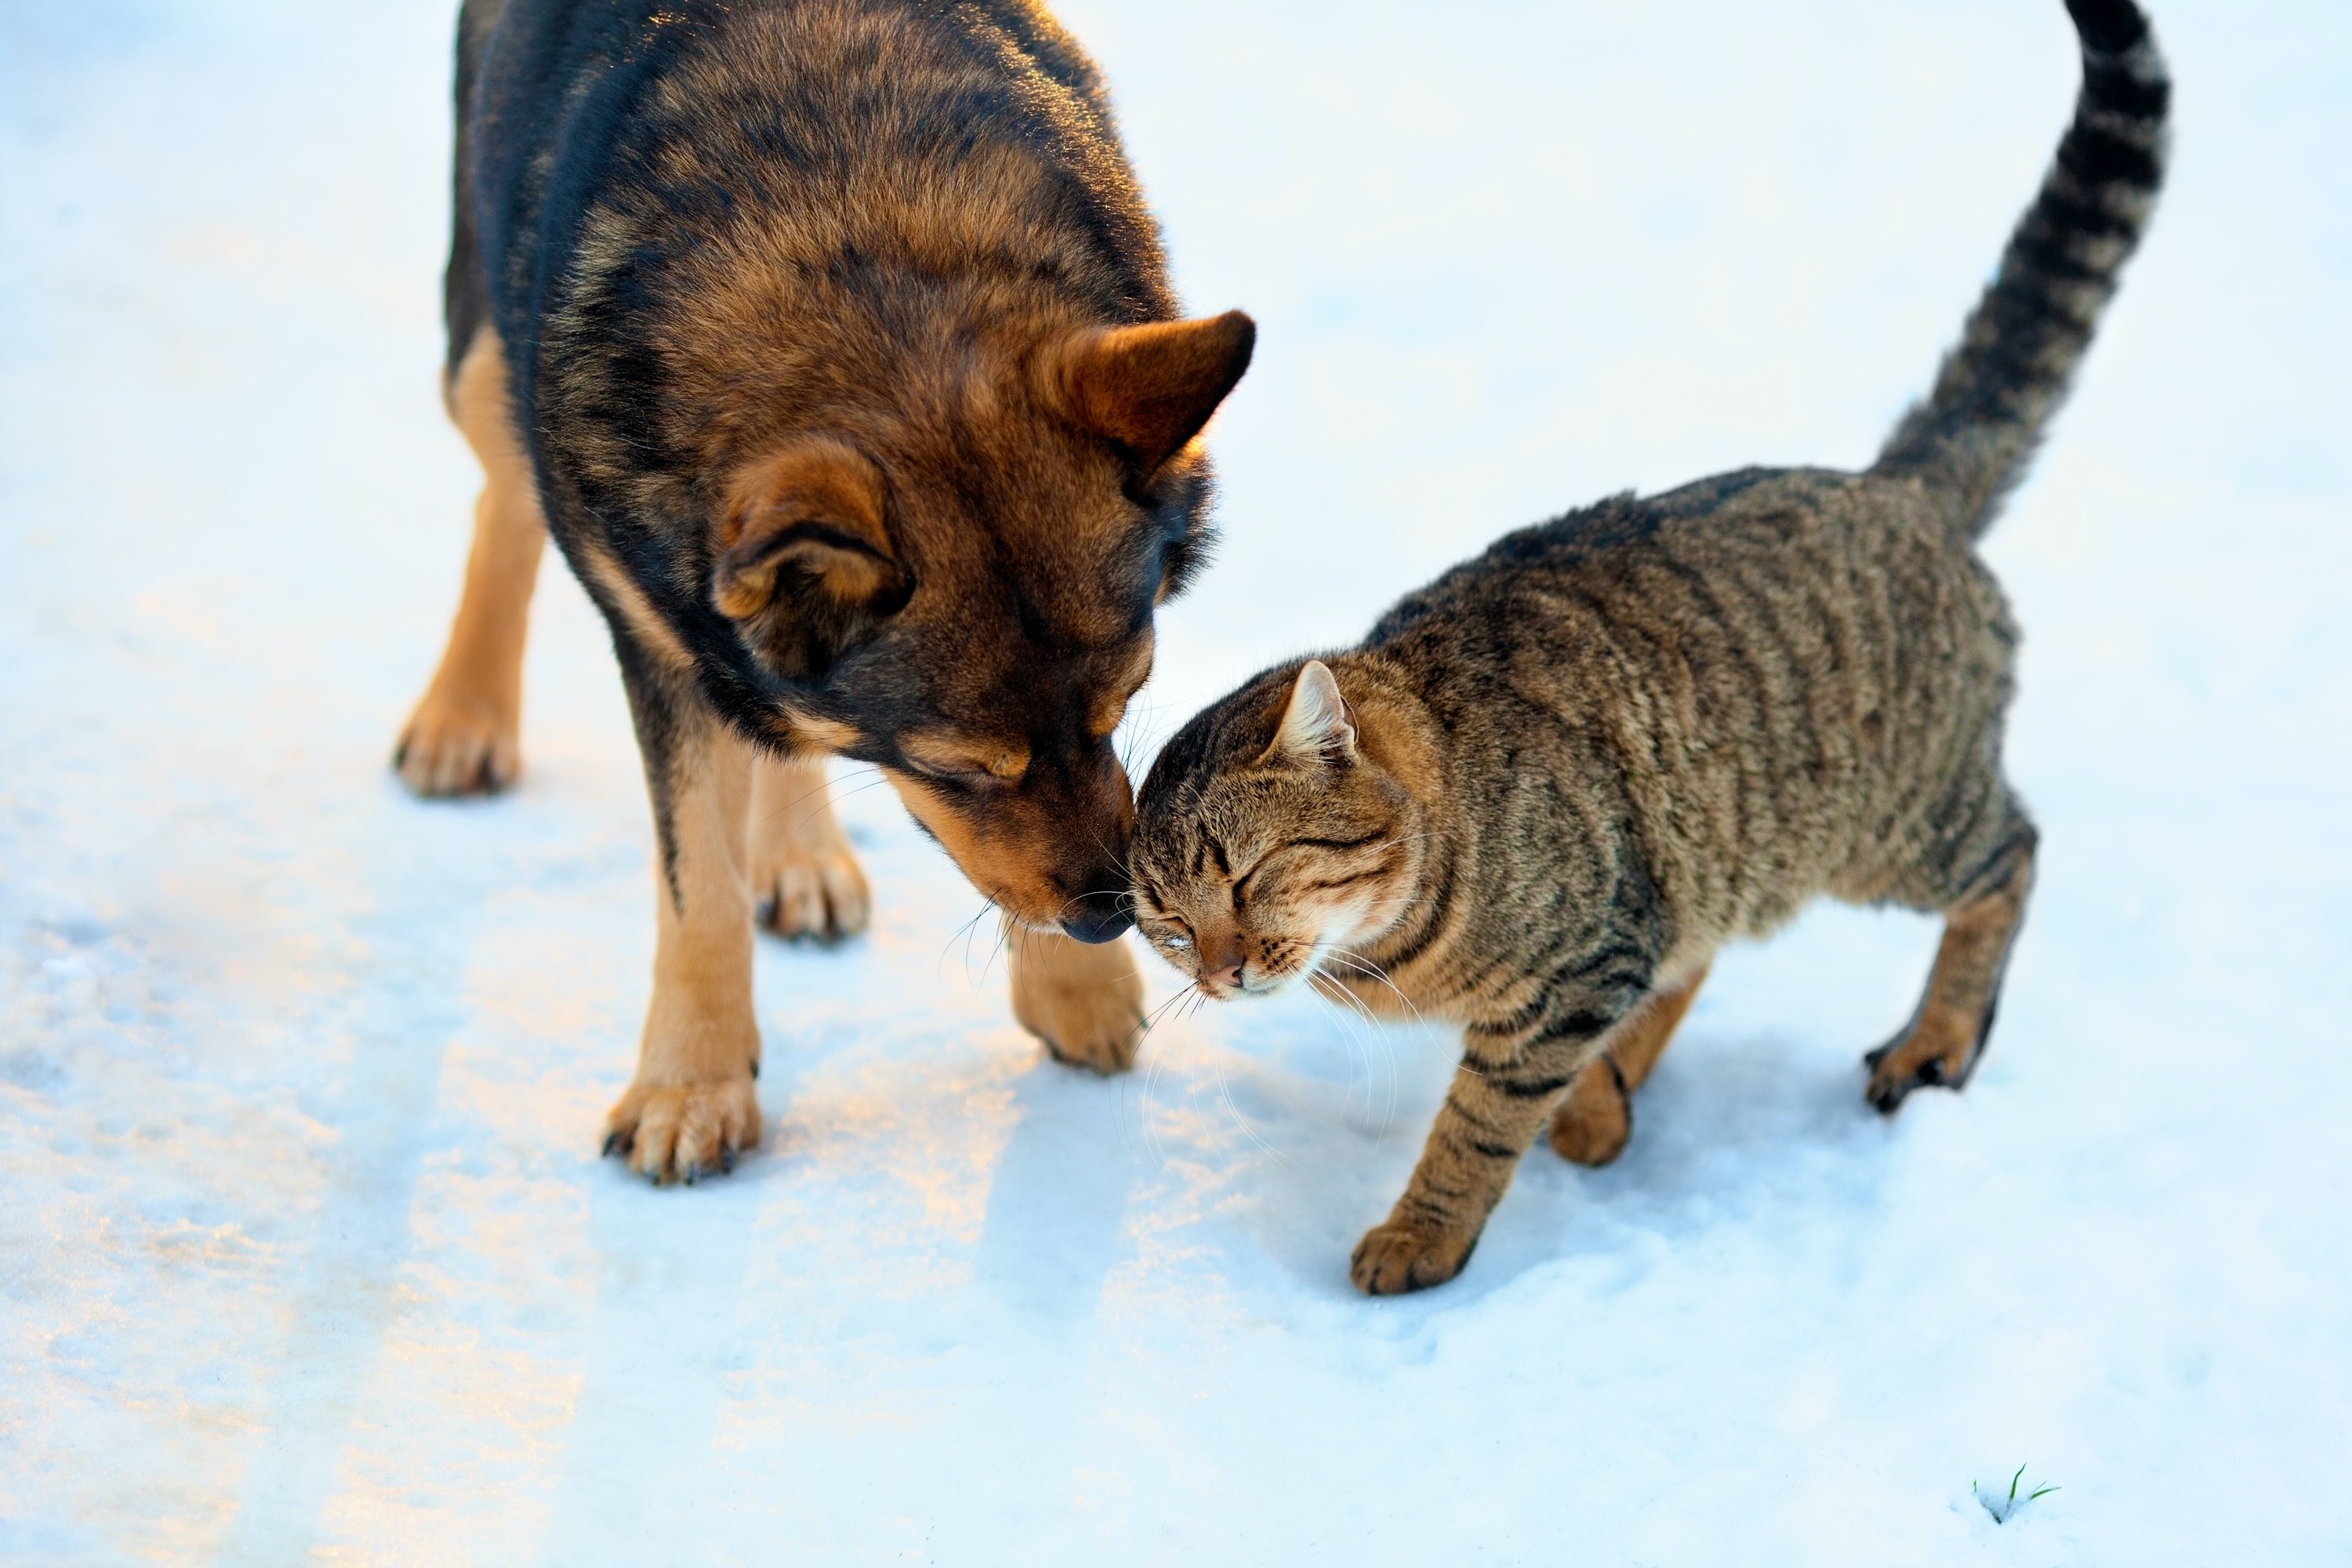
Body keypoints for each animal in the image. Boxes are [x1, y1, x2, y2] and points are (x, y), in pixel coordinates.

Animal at [395, 0, 1261, 1175]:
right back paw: (462, 719)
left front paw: (1075, 986)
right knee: (506, 499)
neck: (859, 229)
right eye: (959, 766)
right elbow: (698, 883)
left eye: (1122, 706)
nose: (1108, 917)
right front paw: (691, 1090)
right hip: (486, 352)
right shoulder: (663, 635)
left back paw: (800, 856)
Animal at [1120, 0, 2164, 1298]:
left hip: (1897, 829)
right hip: (1722, 836)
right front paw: (1591, 1107)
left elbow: (1477, 1123)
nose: (1218, 972)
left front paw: (1424, 1231)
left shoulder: (1572, 973)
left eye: (1244, 879)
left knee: (2012, 857)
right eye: (1166, 926)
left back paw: (1937, 1042)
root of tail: (1896, 486)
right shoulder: (1626, 922)